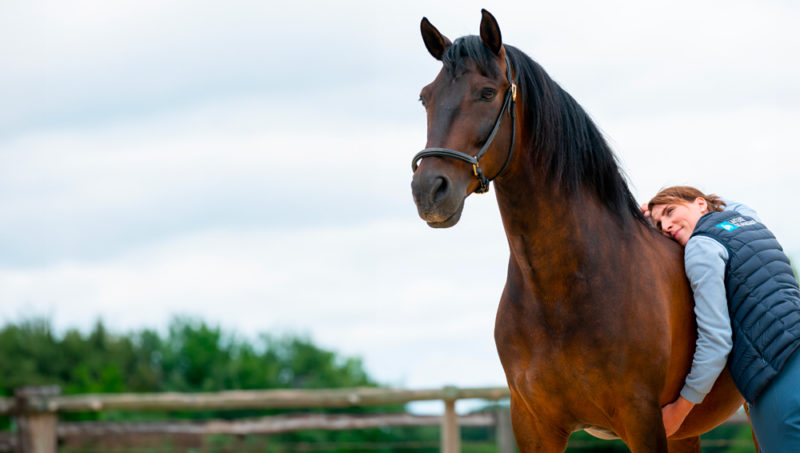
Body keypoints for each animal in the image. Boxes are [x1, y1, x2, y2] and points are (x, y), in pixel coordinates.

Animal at [410, 10, 744, 453]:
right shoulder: (534, 426)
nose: (428, 190)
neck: (558, 292)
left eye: (486, 93)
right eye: (425, 97)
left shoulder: (643, 421)